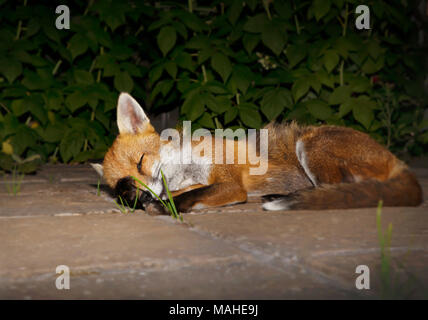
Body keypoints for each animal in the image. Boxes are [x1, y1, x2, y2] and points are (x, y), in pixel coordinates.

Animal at [92, 91, 422, 214]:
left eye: (141, 162)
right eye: (120, 185)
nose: (137, 197)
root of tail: (397, 161)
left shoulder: (231, 183)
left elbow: (188, 196)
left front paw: (164, 206)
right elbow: (181, 193)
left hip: (311, 145)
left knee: (339, 189)